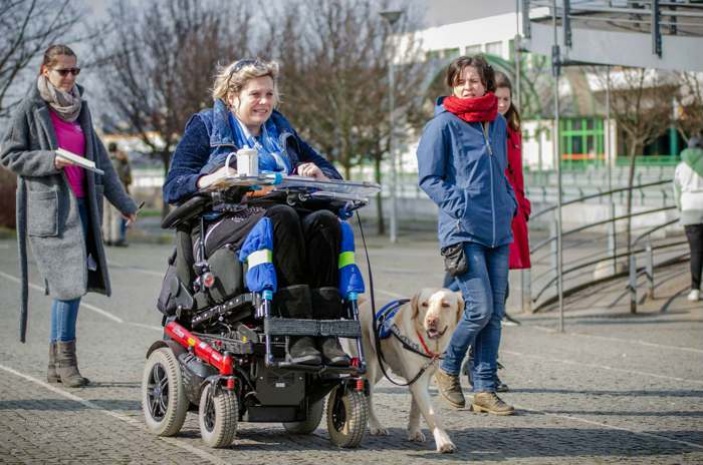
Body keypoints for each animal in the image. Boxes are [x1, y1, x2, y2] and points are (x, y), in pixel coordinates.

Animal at [354, 288, 464, 452]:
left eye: (445, 305)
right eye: (424, 304)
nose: (431, 320)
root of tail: (364, 302)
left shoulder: (422, 377)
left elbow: (416, 408)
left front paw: (414, 431)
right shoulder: (417, 381)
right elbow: (432, 414)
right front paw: (444, 442)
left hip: (381, 368)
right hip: (369, 367)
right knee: (368, 397)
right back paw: (375, 426)